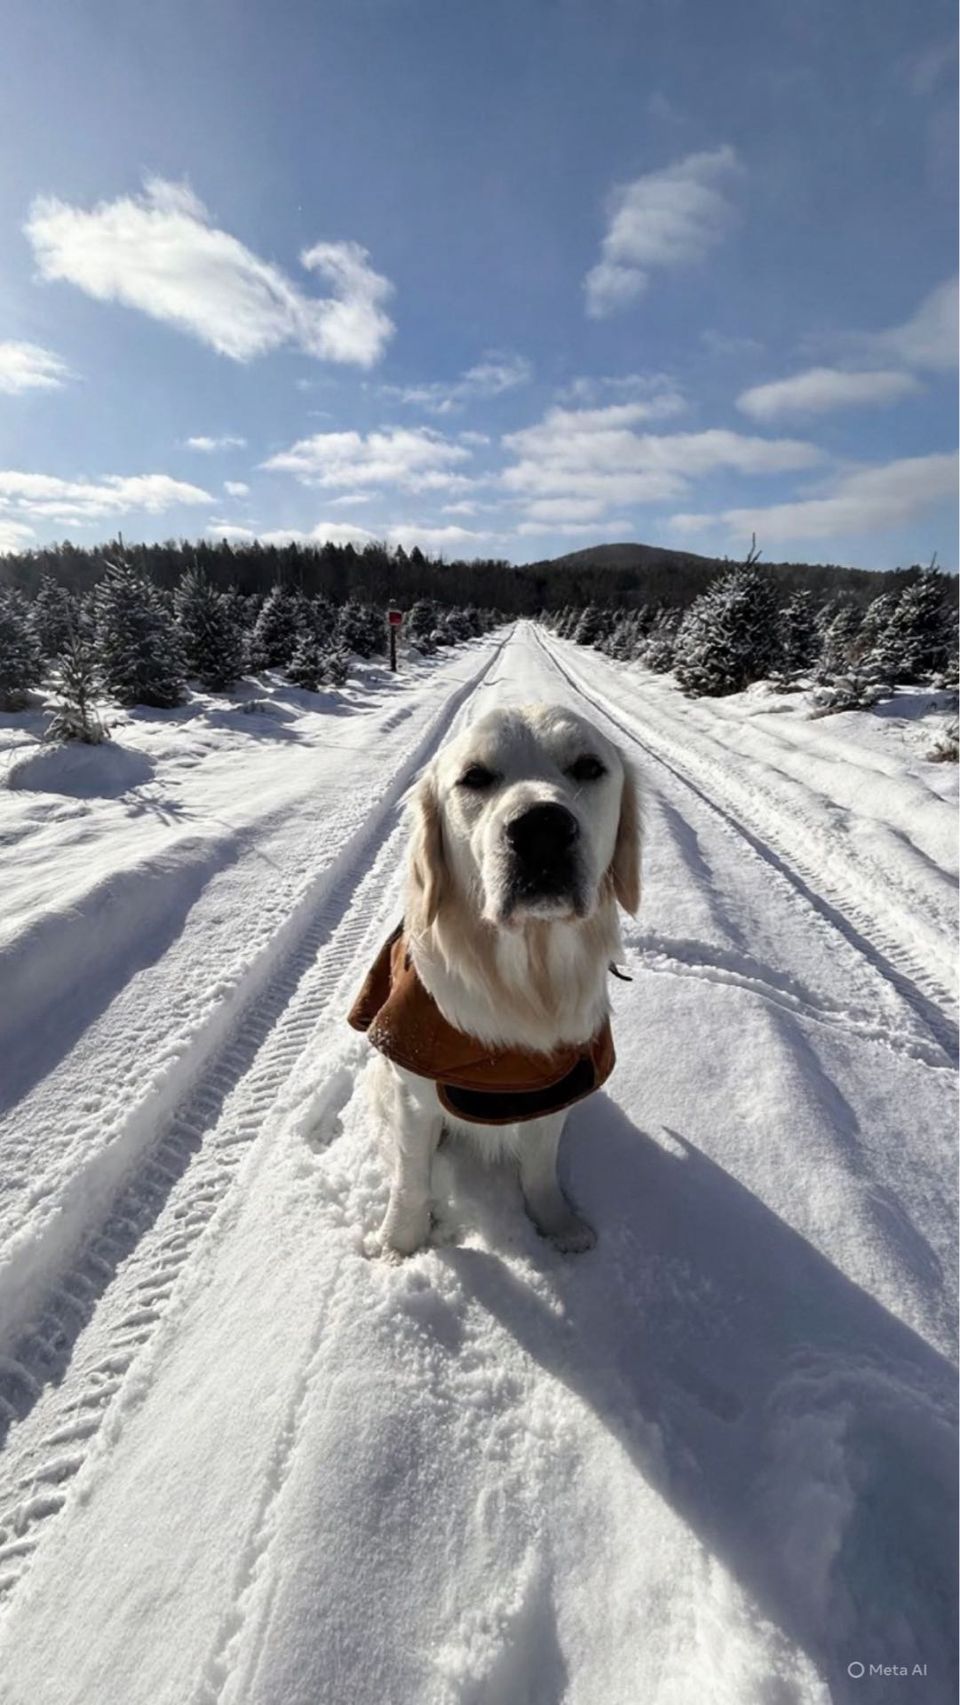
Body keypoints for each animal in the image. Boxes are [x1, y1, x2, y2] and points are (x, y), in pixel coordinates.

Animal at [351, 702, 641, 1258]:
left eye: (588, 767)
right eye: (475, 777)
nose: (542, 829)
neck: (526, 980)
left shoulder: (556, 1088)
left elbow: (540, 1169)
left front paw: (557, 1226)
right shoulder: (415, 1093)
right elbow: (411, 1179)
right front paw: (400, 1245)